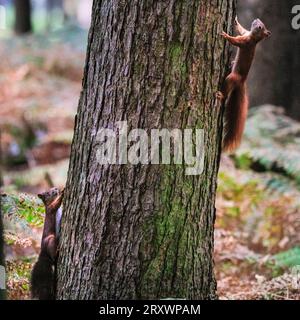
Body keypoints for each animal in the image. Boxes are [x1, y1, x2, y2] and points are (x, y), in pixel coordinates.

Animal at [217, 17, 270, 152]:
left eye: (260, 27)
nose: (257, 19)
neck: (252, 37)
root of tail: (242, 81)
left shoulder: (244, 42)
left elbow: (235, 40)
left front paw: (225, 35)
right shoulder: (245, 33)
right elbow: (241, 29)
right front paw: (235, 22)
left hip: (232, 78)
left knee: (226, 90)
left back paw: (221, 95)